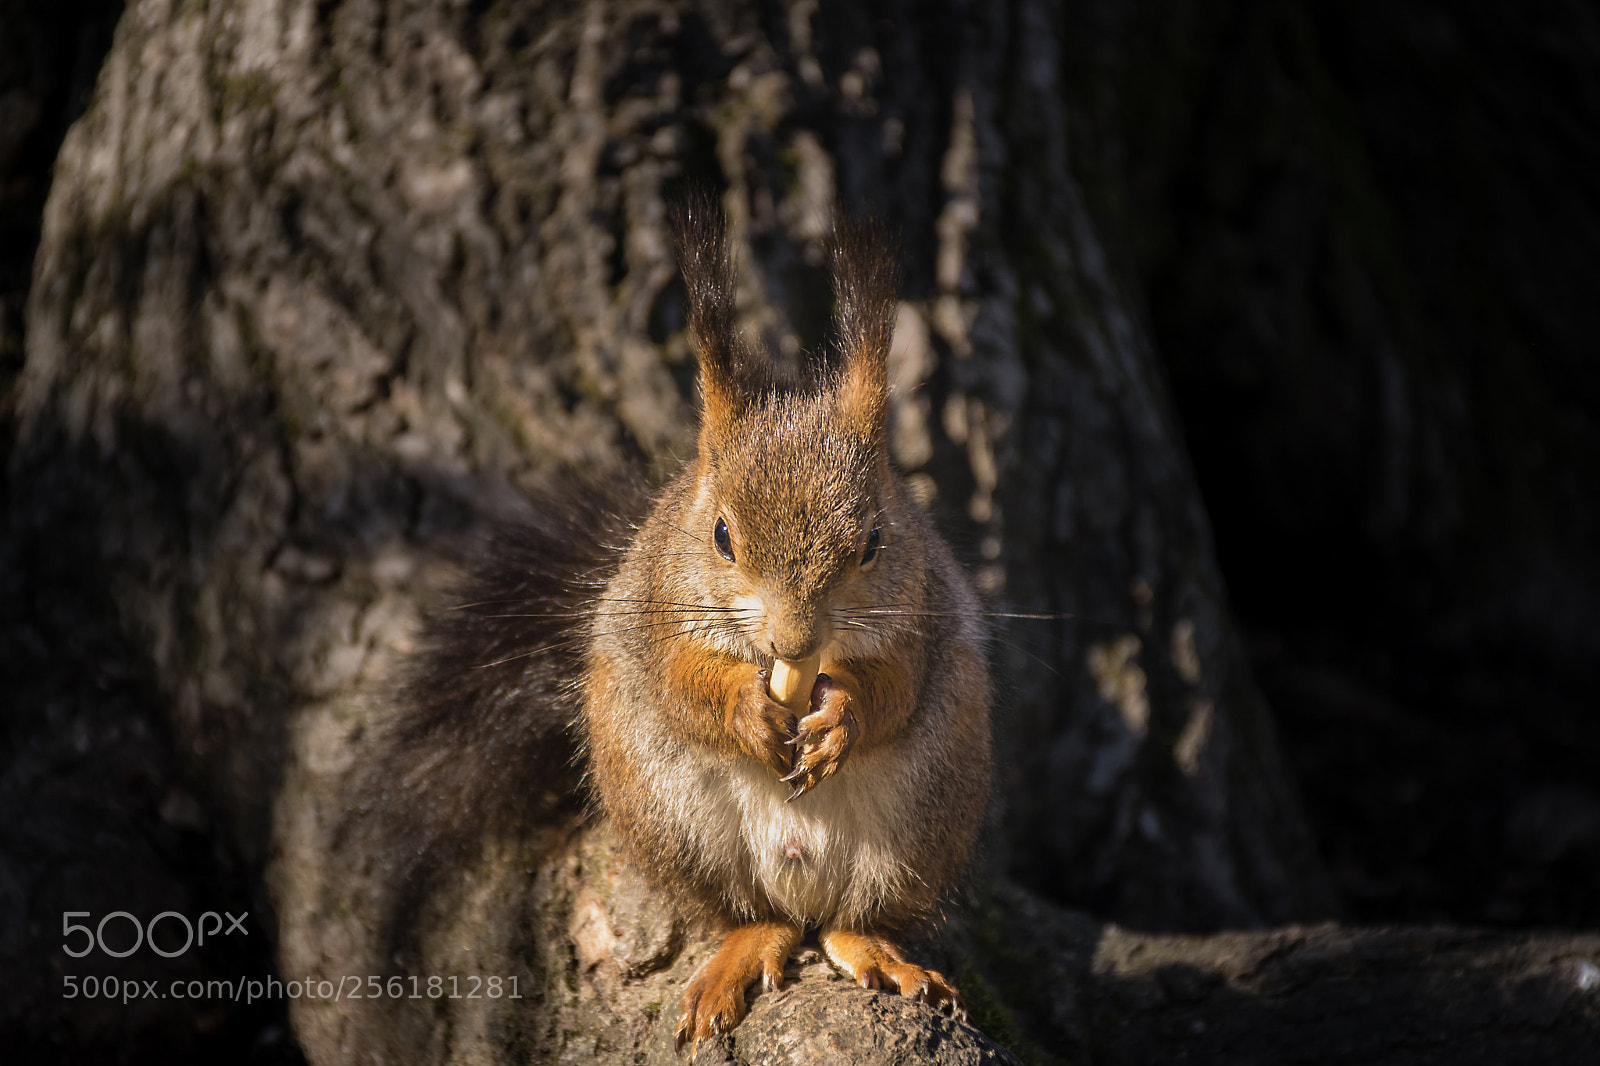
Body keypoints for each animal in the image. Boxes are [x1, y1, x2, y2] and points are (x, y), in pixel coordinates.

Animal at [357, 201, 993, 1051]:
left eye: (874, 542)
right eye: (721, 535)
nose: (794, 643)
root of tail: (797, 887)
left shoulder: (921, 614)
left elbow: (895, 687)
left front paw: (841, 715)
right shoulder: (658, 607)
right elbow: (680, 680)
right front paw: (746, 708)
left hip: (925, 819)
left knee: (852, 918)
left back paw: (880, 952)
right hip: (667, 815)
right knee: (748, 916)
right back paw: (743, 948)